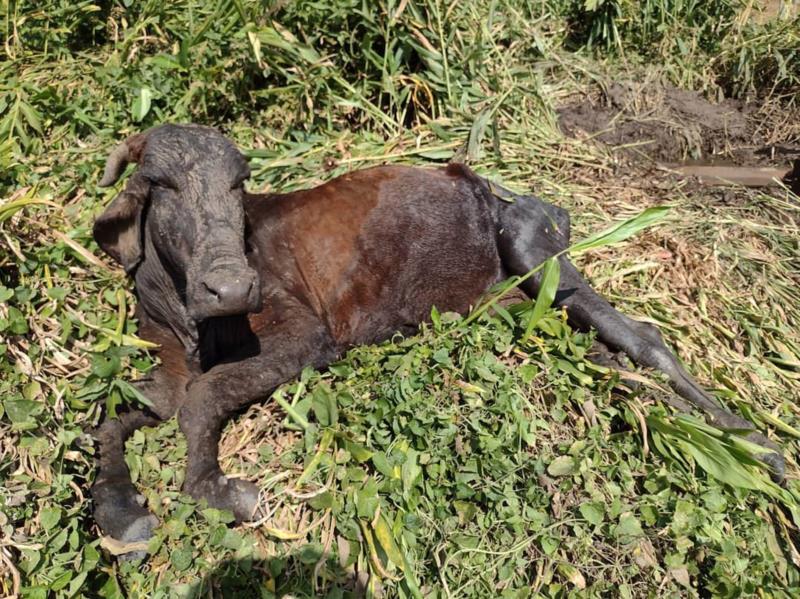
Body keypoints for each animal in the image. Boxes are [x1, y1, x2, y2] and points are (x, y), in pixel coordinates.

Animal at [89, 124, 780, 560]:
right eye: (161, 184)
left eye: (238, 186)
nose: (231, 287)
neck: (187, 317)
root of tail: (480, 180)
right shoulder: (162, 364)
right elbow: (112, 415)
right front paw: (121, 510)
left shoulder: (305, 336)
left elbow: (203, 399)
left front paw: (218, 487)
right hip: (511, 301)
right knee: (610, 358)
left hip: (538, 250)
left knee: (643, 337)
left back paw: (758, 447)